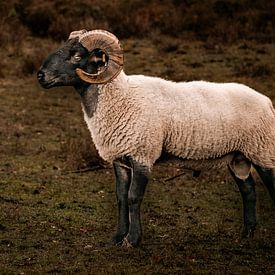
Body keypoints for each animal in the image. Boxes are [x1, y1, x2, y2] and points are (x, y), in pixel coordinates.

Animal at [37, 29, 275, 248]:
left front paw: (133, 240)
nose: (40, 75)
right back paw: (246, 234)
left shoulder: (142, 156)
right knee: (249, 191)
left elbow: (133, 197)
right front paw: (118, 237)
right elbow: (121, 197)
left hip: (263, 152)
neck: (120, 97)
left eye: (77, 55)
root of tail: (266, 101)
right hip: (239, 158)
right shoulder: (121, 159)